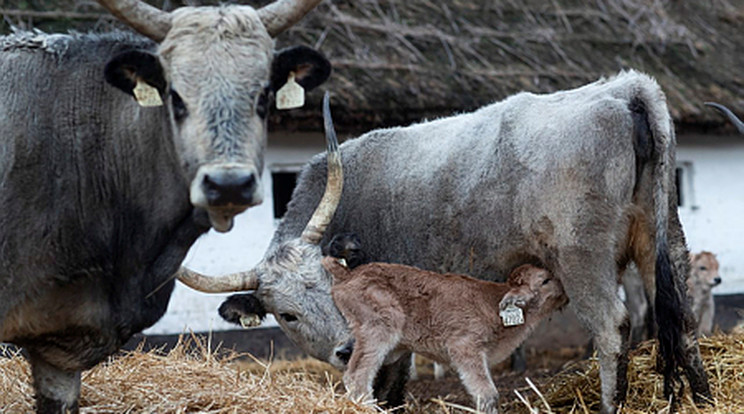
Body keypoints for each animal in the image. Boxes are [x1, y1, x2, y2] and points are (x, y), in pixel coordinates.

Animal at [322, 258, 568, 412]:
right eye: (545, 280)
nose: (566, 293)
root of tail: (349, 273)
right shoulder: (464, 346)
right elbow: (487, 394)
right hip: (378, 328)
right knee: (356, 375)